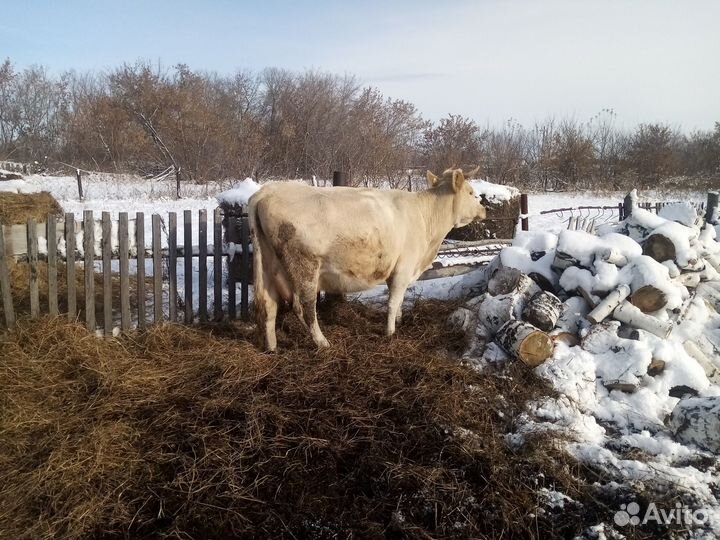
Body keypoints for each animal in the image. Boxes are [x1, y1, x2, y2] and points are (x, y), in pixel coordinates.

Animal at [248, 167, 486, 351]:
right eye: (471, 192)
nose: (484, 209)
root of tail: (266, 191)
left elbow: (399, 300)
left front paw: (399, 319)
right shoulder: (403, 268)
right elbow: (393, 302)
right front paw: (390, 332)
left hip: (268, 265)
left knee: (268, 305)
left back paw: (272, 347)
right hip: (304, 266)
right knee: (303, 307)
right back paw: (323, 342)